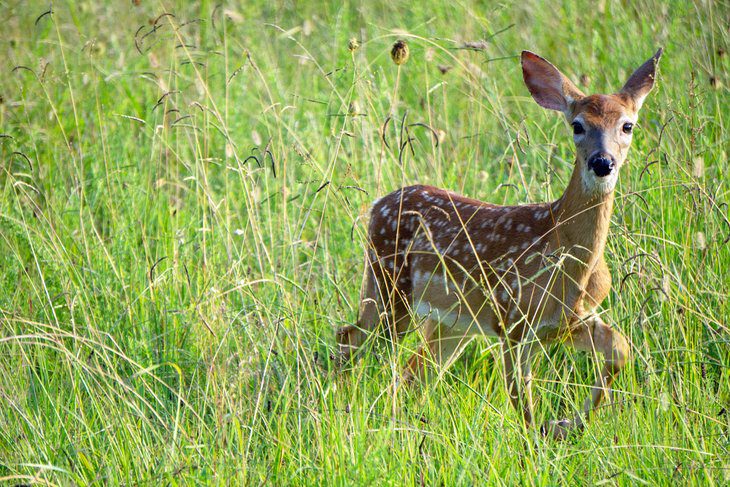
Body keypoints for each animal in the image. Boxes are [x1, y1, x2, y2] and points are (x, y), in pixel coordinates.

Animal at [336, 48, 660, 438]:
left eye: (628, 125)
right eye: (577, 125)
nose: (602, 162)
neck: (566, 256)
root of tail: (376, 205)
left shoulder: (567, 321)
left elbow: (620, 348)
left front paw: (567, 424)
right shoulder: (514, 321)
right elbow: (523, 405)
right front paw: (544, 437)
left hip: (452, 321)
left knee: (414, 370)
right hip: (388, 286)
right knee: (350, 339)